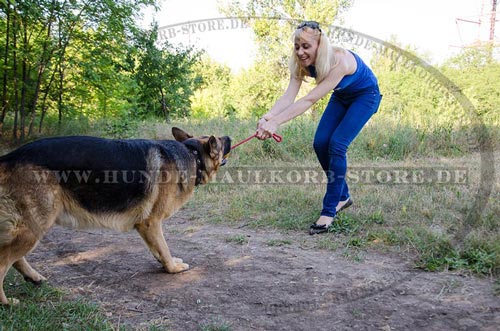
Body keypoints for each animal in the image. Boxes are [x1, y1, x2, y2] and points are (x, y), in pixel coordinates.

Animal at [0, 127, 230, 306]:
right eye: (219, 141)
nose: (229, 137)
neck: (192, 154)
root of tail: (9, 157)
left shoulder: (146, 227)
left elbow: (157, 247)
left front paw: (166, 262)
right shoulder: (151, 222)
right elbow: (164, 247)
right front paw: (172, 268)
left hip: (31, 228)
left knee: (15, 258)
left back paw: (33, 277)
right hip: (35, 226)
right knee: (3, 262)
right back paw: (6, 302)